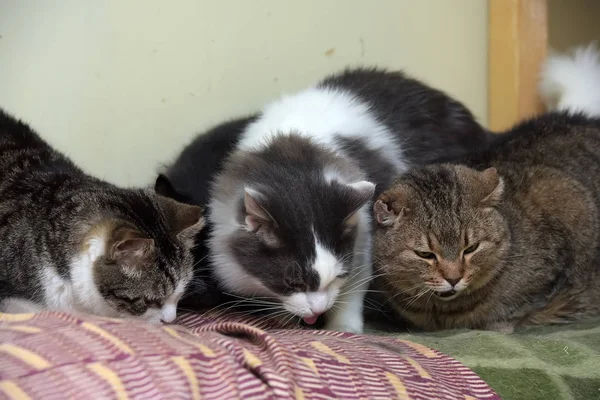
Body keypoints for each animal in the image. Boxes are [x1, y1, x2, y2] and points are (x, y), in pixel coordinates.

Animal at [159, 67, 492, 332]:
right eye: (292, 283)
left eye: (338, 276)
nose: (318, 310)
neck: (294, 155)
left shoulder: (366, 236)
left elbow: (353, 292)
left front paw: (344, 329)